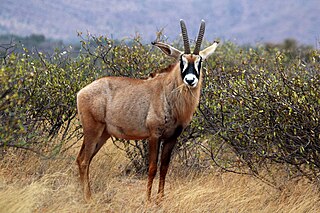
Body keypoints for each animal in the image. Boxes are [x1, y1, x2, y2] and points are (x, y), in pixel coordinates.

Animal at [76, 19, 219, 201]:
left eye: (200, 62)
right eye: (182, 61)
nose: (190, 80)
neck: (167, 92)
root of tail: (82, 91)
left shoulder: (172, 138)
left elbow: (164, 168)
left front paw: (160, 200)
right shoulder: (154, 135)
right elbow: (152, 168)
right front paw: (149, 200)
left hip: (103, 134)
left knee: (83, 159)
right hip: (92, 130)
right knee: (84, 160)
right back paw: (88, 199)